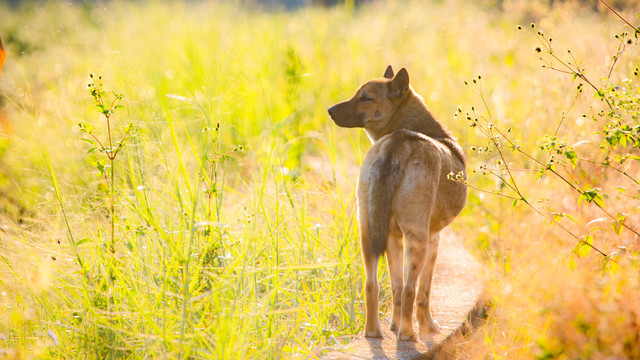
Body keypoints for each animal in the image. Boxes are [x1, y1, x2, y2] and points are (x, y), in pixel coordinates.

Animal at [328, 67, 468, 340]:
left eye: (365, 97)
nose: (329, 110)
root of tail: (399, 143)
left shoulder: (393, 237)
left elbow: (395, 287)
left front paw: (393, 325)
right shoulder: (434, 239)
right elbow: (423, 292)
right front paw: (428, 328)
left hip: (368, 233)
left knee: (373, 285)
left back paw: (374, 332)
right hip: (417, 239)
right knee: (411, 289)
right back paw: (408, 334)